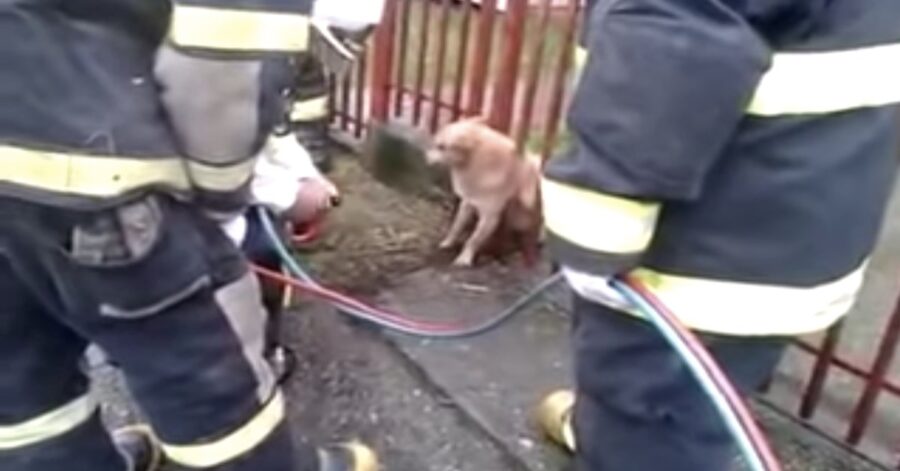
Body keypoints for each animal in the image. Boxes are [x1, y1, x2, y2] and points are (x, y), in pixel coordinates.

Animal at [428, 117, 540, 268]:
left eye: (441, 147)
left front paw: (465, 258)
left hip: (524, 212)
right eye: (436, 144)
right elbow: (456, 226)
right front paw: (448, 242)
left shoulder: (490, 217)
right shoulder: (468, 203)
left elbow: (473, 240)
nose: (426, 157)